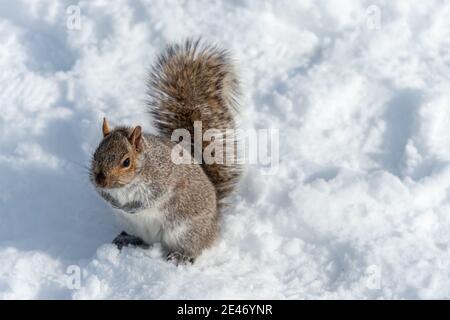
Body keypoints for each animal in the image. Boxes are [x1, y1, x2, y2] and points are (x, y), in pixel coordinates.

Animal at [89, 40, 241, 264]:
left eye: (126, 162)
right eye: (95, 154)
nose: (100, 180)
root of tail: (214, 223)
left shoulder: (163, 179)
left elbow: (153, 198)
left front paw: (130, 207)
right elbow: (103, 195)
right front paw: (113, 202)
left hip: (184, 230)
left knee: (194, 247)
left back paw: (181, 256)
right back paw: (129, 239)